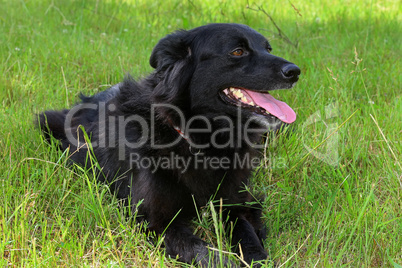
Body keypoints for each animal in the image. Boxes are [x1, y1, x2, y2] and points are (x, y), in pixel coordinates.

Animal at [39, 24, 300, 266]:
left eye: (268, 49)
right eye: (237, 51)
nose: (295, 72)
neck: (202, 140)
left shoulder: (235, 202)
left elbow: (247, 236)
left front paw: (257, 258)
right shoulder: (156, 221)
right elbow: (202, 251)